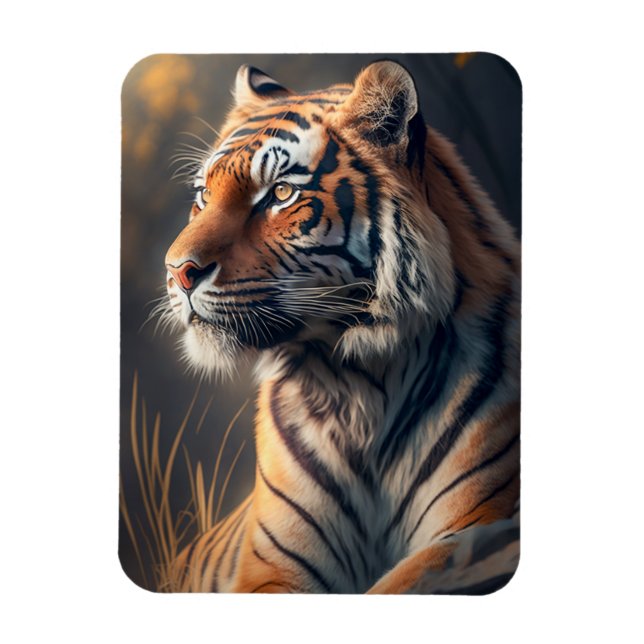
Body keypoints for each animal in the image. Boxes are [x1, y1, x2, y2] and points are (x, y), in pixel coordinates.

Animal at [162, 60, 520, 594]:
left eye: (281, 193)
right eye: (204, 195)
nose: (177, 271)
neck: (355, 382)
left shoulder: (475, 529)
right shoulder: (273, 566)